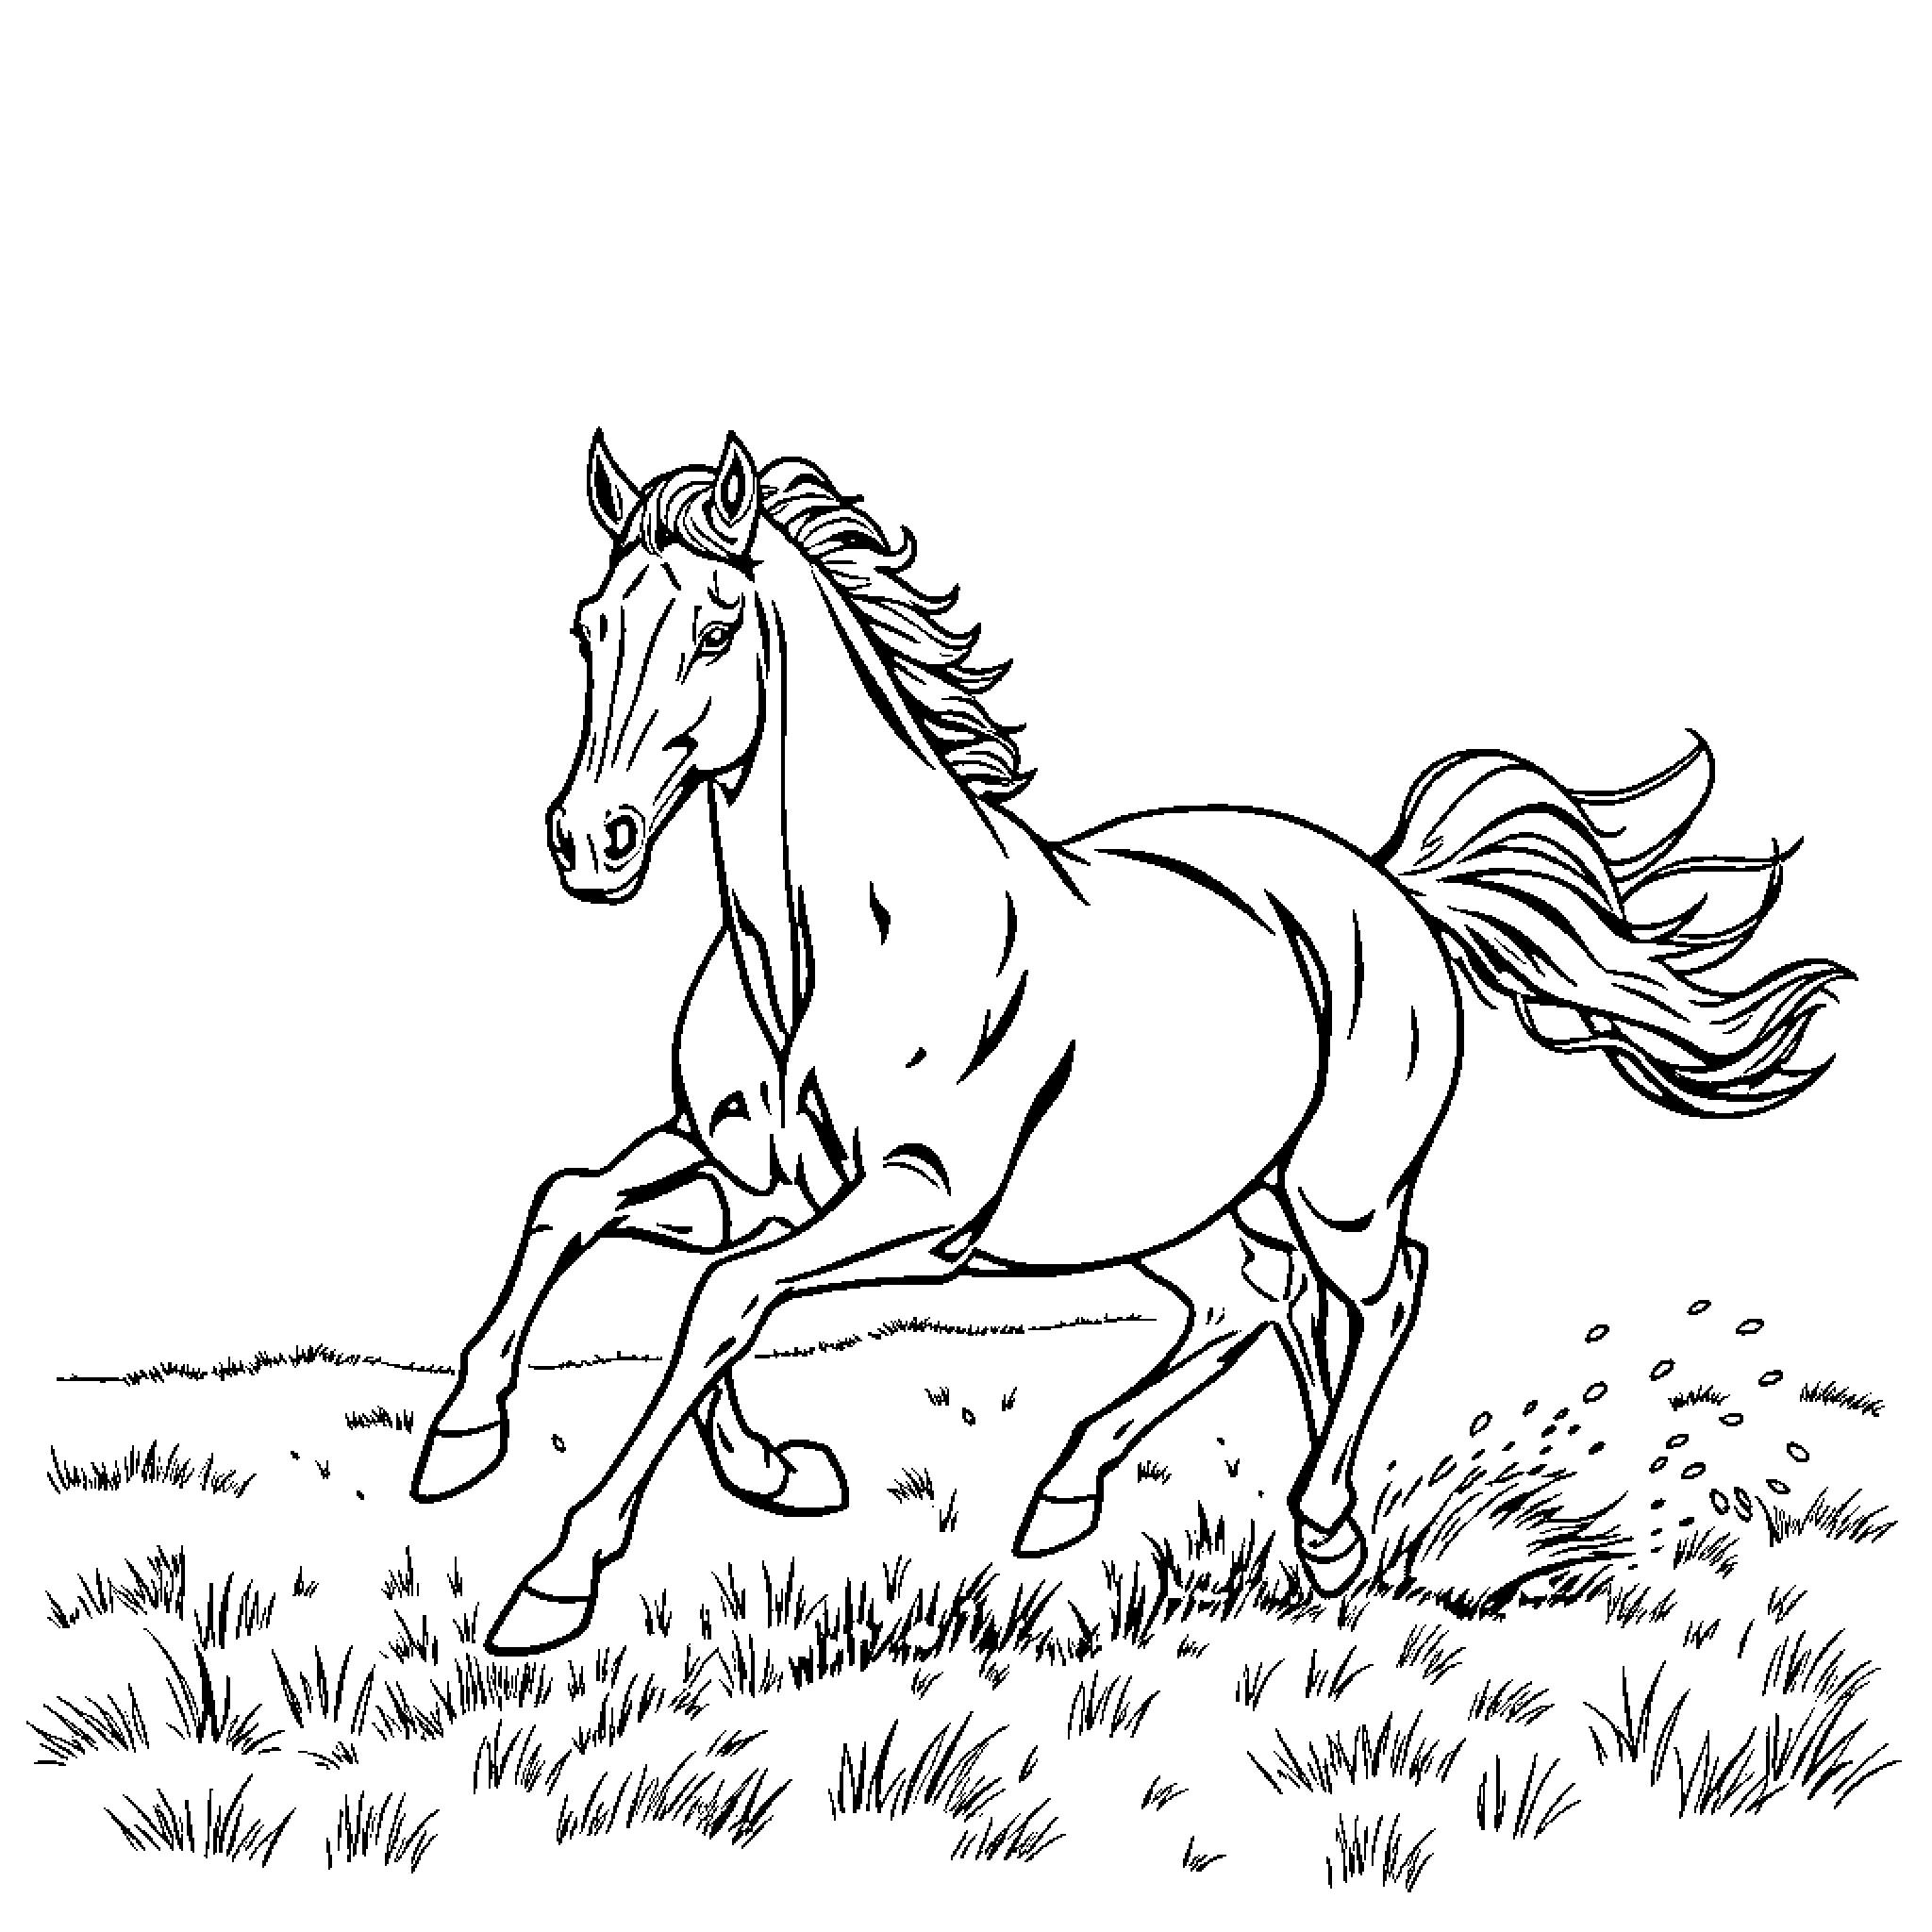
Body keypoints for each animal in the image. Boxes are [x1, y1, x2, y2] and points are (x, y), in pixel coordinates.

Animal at [409, 431, 1851, 1657]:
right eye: (590, 627)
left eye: (714, 628)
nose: (587, 842)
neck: (830, 951)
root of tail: (1393, 885)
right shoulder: (743, 1171)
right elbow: (586, 1213)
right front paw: (483, 1439)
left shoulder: (918, 1204)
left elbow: (720, 1297)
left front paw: (556, 1580)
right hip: (1190, 1204)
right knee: (1253, 1304)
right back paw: (1123, 1503)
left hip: (1340, 1190)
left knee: (1383, 1291)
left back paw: (1312, 1525)